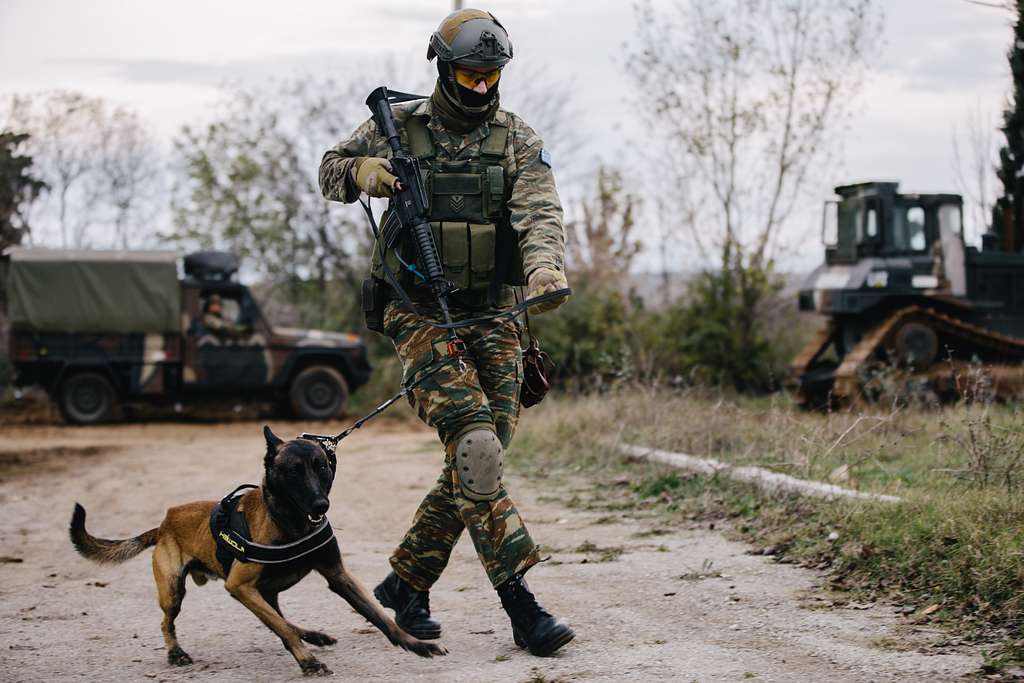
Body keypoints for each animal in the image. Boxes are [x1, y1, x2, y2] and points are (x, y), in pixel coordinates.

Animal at [68, 423, 444, 675]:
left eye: (322, 467)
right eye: (293, 472)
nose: (321, 505)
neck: (290, 522)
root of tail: (164, 522)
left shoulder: (339, 575)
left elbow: (380, 617)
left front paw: (415, 645)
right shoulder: (239, 586)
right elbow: (282, 629)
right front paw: (307, 661)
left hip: (265, 590)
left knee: (279, 615)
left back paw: (313, 634)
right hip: (175, 590)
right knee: (168, 622)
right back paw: (176, 653)